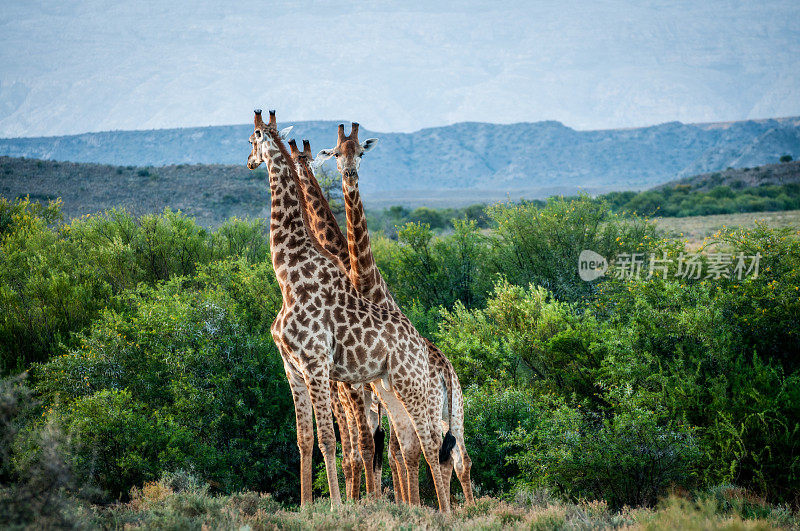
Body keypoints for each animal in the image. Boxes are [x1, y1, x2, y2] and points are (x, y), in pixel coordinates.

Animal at [245, 111, 450, 512]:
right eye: (335, 153)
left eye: (251, 139)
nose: (248, 161)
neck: (289, 273)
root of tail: (422, 346)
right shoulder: (292, 366)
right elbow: (305, 439)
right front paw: (308, 506)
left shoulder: (318, 365)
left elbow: (334, 441)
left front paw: (339, 506)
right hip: (388, 386)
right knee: (410, 442)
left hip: (412, 386)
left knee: (431, 442)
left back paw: (444, 511)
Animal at [314, 123, 476, 508]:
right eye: (336, 153)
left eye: (361, 152)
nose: (349, 174)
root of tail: (451, 371)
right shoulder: (374, 394)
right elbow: (389, 450)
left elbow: (393, 450)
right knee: (445, 454)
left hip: (450, 411)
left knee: (455, 456)